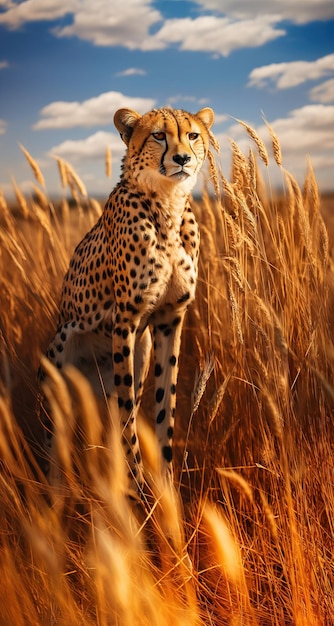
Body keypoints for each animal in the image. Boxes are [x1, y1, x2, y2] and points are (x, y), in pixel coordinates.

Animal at [39, 105, 217, 490]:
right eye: (159, 135)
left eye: (193, 135)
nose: (182, 158)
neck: (167, 204)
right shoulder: (126, 320)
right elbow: (127, 423)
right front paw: (139, 488)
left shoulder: (168, 321)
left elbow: (165, 407)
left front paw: (165, 488)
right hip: (58, 361)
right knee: (55, 449)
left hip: (142, 348)